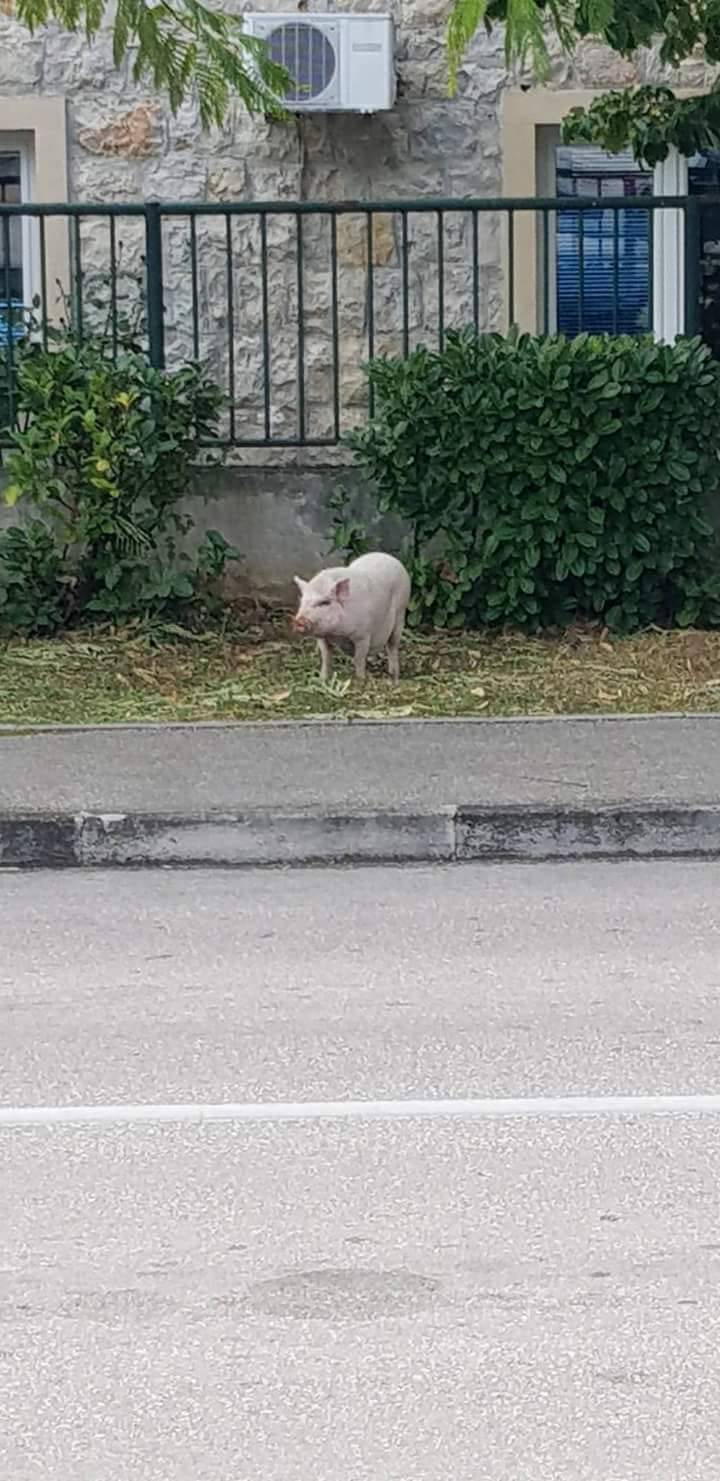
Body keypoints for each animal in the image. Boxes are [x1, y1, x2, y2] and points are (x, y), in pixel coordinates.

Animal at [288, 550, 411, 681]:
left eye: (324, 602)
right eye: (302, 601)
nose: (299, 621)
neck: (337, 634)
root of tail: (389, 557)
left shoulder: (363, 636)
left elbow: (358, 660)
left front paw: (360, 680)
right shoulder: (322, 637)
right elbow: (326, 657)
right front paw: (323, 679)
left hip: (400, 613)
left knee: (392, 645)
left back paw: (394, 675)